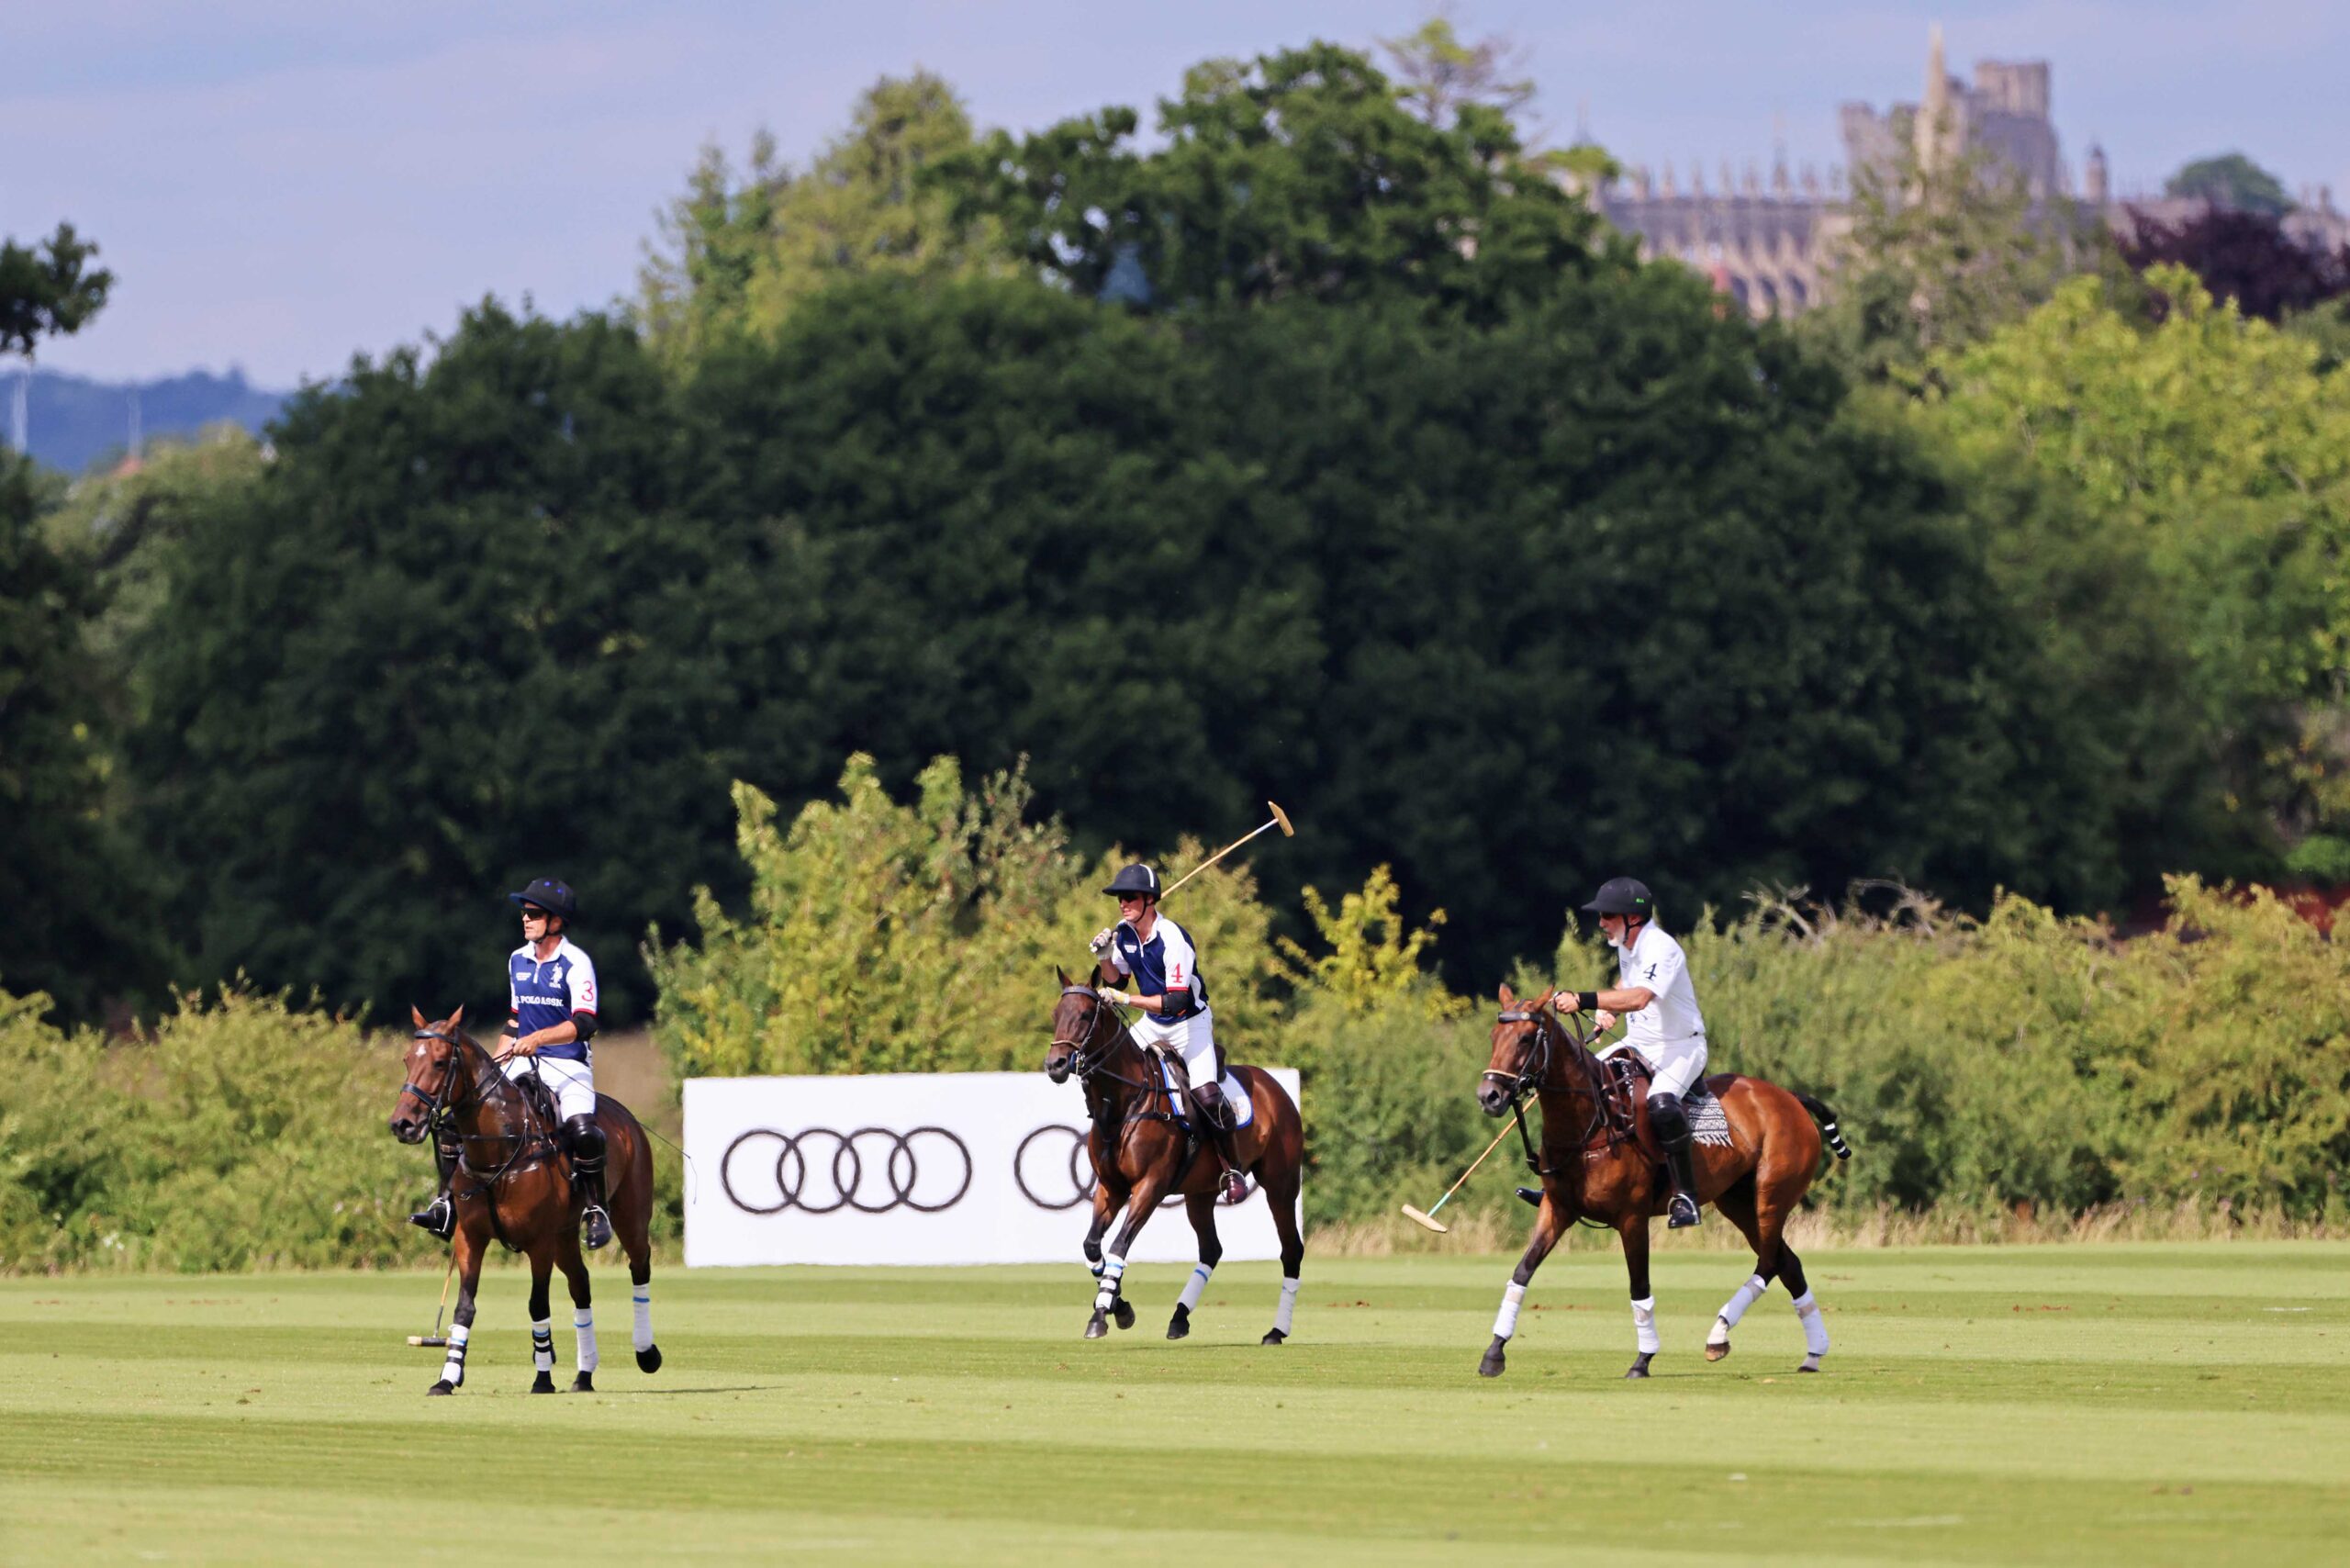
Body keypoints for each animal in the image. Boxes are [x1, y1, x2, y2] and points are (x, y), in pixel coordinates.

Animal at [385, 1011, 662, 1401]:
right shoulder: (470, 1238)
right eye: (408, 1059)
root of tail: (628, 1118)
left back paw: (646, 1352)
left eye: (439, 1062)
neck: (498, 1147)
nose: (402, 1124)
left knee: (640, 1267)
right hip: (564, 1235)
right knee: (581, 1285)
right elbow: (464, 1307)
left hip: (629, 1215)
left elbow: (537, 1304)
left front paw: (542, 1378)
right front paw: (447, 1377)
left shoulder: (538, 1242)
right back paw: (584, 1374)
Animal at [1043, 973, 1306, 1344]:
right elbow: (1093, 1246)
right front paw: (1119, 1306)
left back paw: (1276, 1330)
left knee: (1291, 1249)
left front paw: (1102, 1313)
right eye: (1056, 1014)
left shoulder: (1149, 1187)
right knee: (1211, 1249)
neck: (1125, 1102)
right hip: (1200, 1193)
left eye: (1083, 1016)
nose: (1055, 1065)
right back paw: (1179, 1317)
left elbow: (1119, 1245)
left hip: (1281, 1184)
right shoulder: (1111, 1188)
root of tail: (1274, 1085)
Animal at [1466, 987, 1852, 1382]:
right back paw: (1813, 1352)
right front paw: (1494, 1353)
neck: (1590, 1123)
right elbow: (1522, 1272)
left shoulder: (1632, 1217)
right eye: (1494, 1036)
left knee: (1770, 1262)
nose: (1489, 1096)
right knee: (1788, 1263)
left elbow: (1639, 1286)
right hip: (1738, 1202)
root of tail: (1791, 1098)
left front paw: (1643, 1359)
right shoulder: (1557, 1208)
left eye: (1527, 1038)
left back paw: (1719, 1334)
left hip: (1771, 1197)